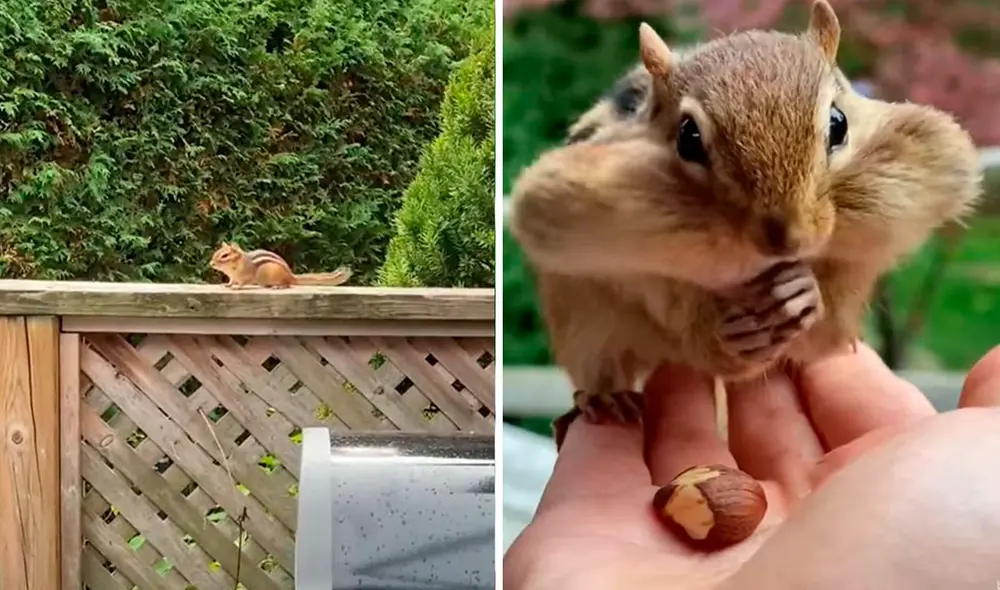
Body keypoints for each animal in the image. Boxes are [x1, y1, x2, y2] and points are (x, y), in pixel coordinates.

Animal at [209, 242, 353, 289]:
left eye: (225, 255)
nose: (211, 263)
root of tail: (291, 276)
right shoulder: (233, 277)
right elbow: (231, 281)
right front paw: (227, 285)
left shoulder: (247, 275)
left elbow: (244, 282)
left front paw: (238, 288)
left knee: (287, 284)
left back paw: (279, 286)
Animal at [509, 0, 982, 446]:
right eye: (688, 137)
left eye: (838, 123)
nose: (786, 240)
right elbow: (657, 288)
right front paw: (724, 326)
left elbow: (826, 318)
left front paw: (804, 291)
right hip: (584, 326)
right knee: (601, 366)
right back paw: (607, 400)